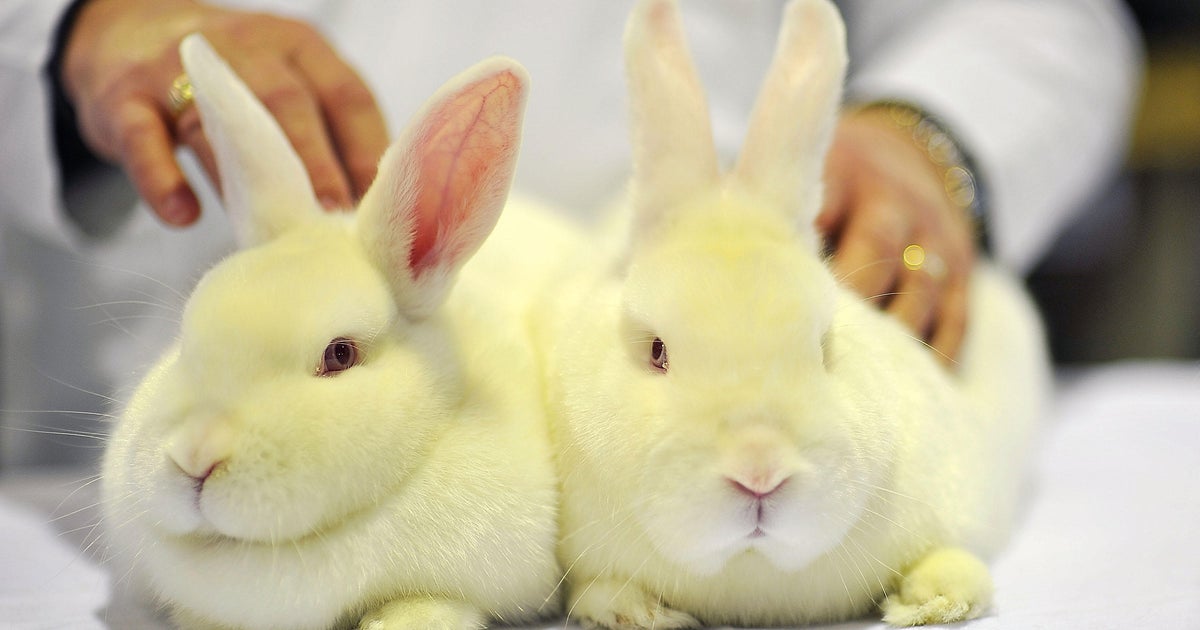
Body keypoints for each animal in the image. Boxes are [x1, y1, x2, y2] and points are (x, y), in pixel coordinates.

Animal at [535, 0, 1051, 627]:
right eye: (657, 352)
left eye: (824, 347)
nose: (760, 473)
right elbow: (599, 591)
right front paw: (641, 612)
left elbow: (955, 557)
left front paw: (932, 600)